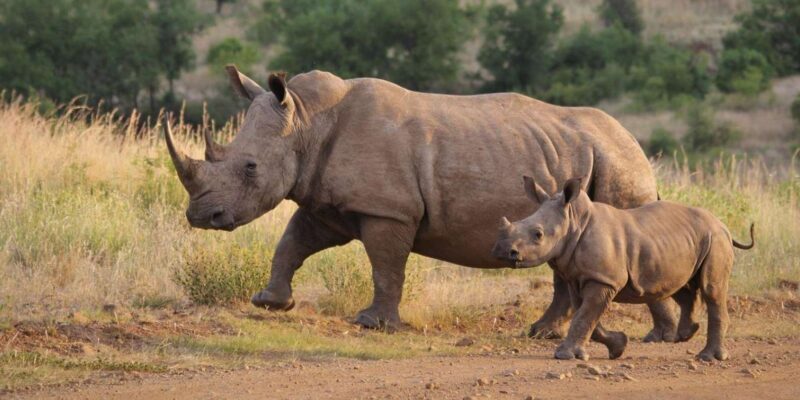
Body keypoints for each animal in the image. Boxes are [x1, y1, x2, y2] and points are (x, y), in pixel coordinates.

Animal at [164, 65, 679, 338]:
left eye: (250, 167)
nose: (201, 216)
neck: (306, 122)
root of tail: (634, 142)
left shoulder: (387, 209)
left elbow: (386, 265)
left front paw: (373, 324)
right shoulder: (327, 203)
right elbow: (292, 242)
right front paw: (270, 302)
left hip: (616, 165)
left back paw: (648, 336)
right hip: (584, 162)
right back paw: (544, 333)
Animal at [492, 176, 755, 361]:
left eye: (538, 235)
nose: (502, 251)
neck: (574, 221)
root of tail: (722, 224)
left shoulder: (603, 279)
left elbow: (584, 316)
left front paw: (564, 355)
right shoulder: (580, 278)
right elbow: (586, 317)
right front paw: (618, 347)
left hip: (716, 239)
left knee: (711, 290)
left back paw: (708, 357)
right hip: (687, 241)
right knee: (680, 286)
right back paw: (686, 334)